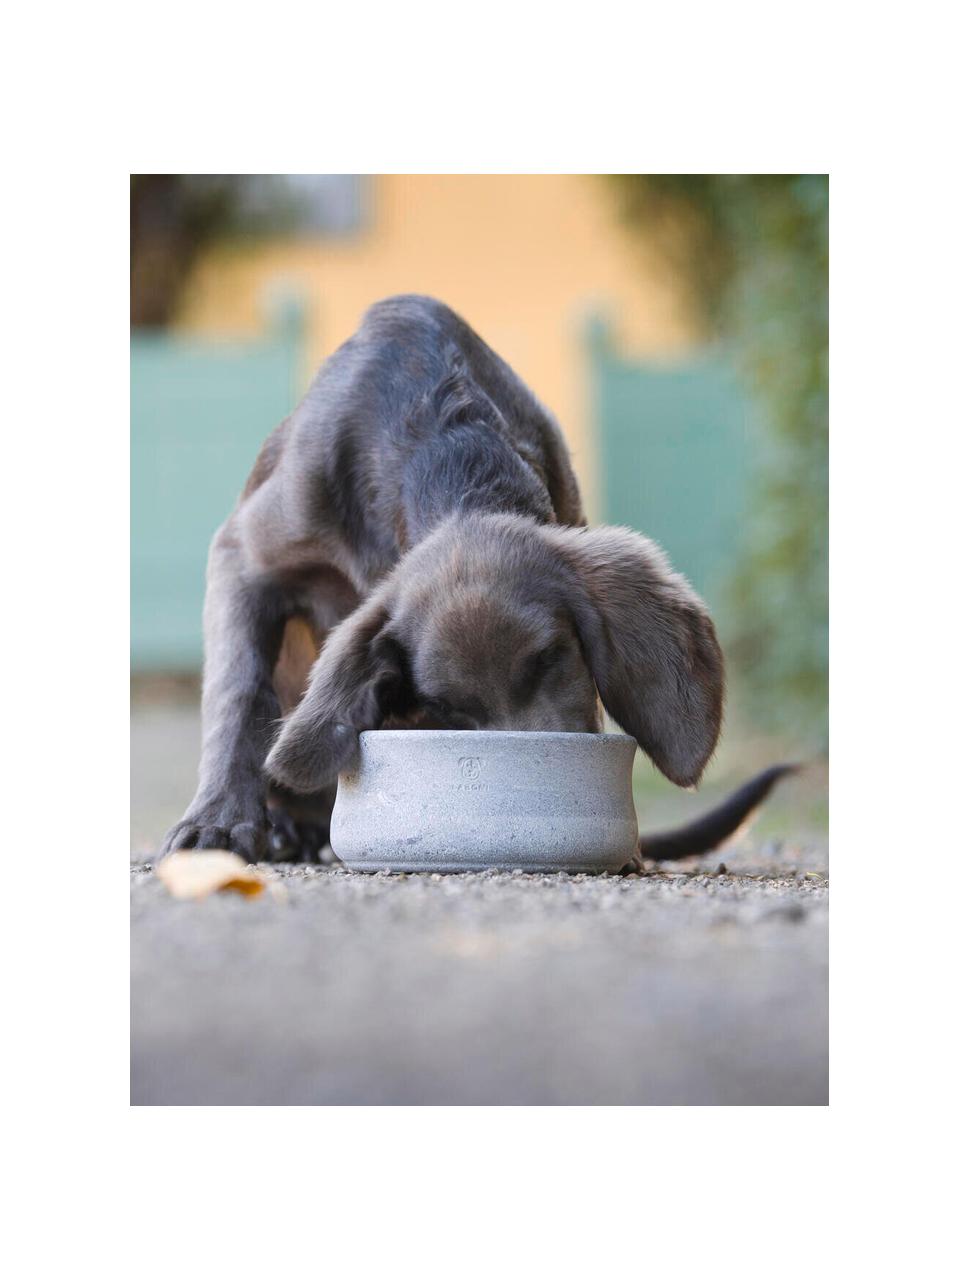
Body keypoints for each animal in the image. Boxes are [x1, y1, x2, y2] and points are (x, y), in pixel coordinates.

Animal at [161, 294, 793, 865]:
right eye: (448, 707)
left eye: (552, 658)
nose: (535, 796)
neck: (445, 438)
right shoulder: (244, 555)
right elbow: (238, 692)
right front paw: (220, 822)